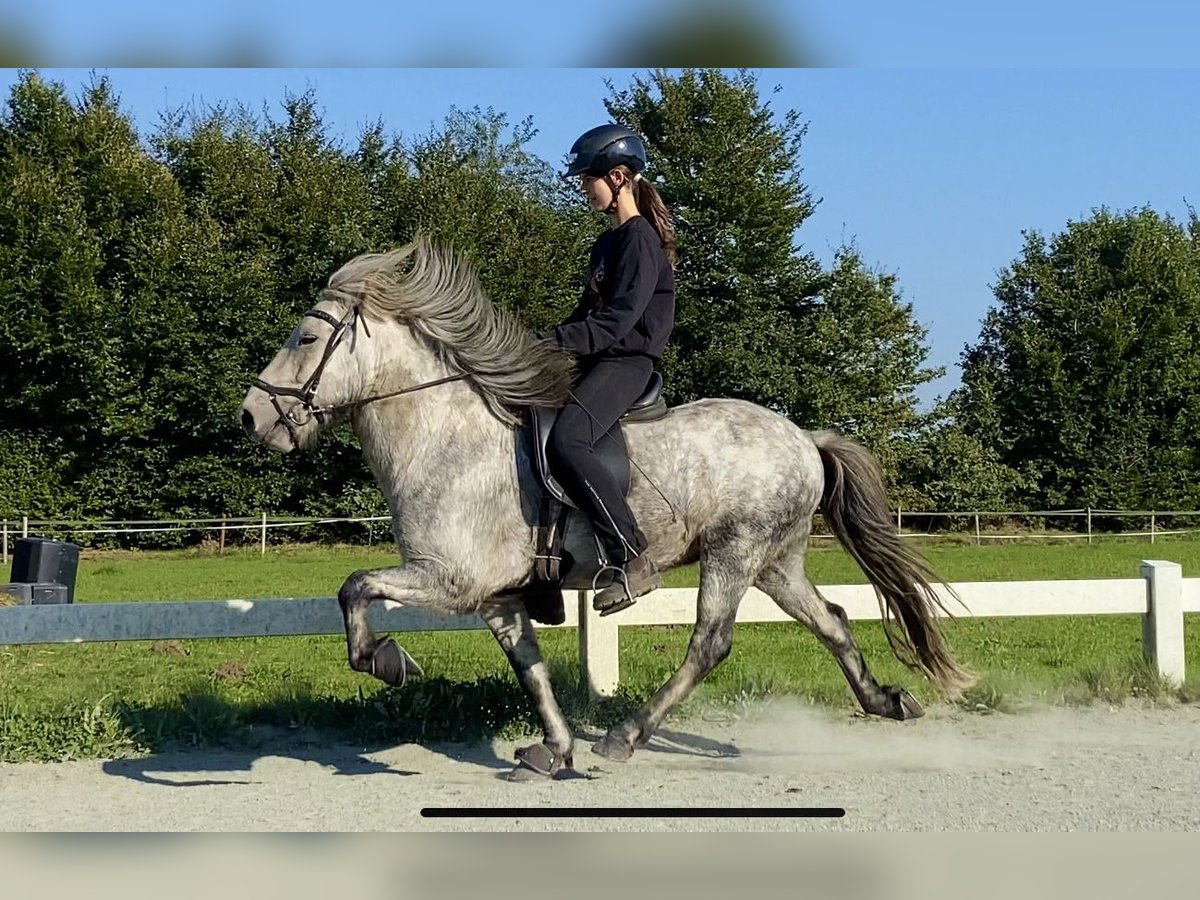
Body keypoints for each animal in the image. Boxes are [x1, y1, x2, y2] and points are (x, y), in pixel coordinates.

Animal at [241, 240, 974, 782]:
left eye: (305, 337)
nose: (251, 418)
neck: (445, 437)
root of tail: (804, 438)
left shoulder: (450, 579)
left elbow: (354, 587)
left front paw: (387, 661)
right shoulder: (498, 596)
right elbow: (530, 670)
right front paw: (553, 751)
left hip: (733, 554)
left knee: (710, 643)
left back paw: (626, 735)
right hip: (774, 562)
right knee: (832, 620)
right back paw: (886, 700)